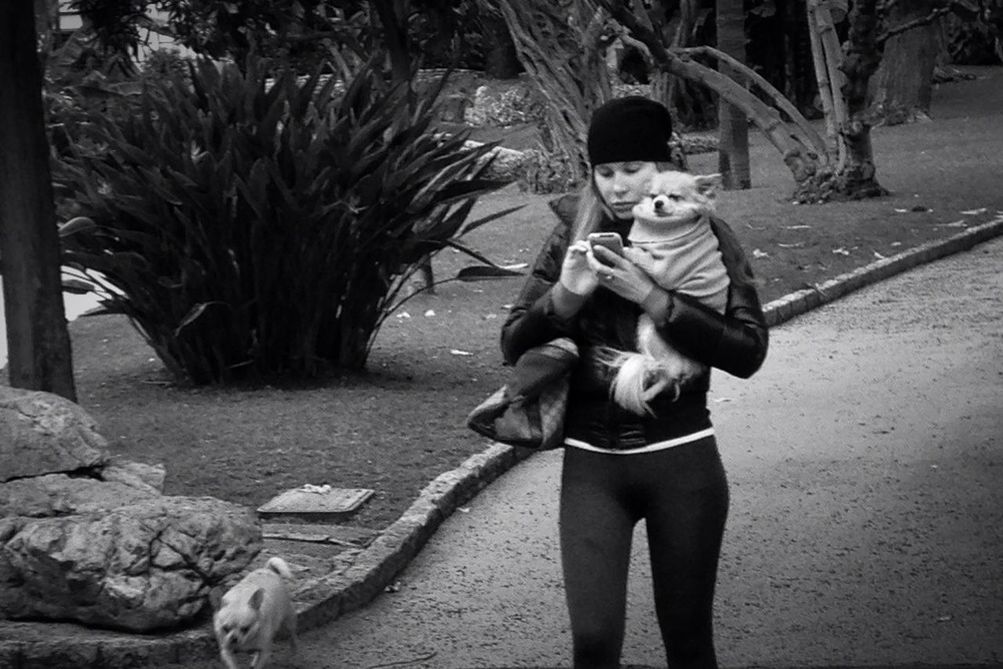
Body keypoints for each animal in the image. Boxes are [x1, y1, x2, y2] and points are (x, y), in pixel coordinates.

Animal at [601, 170, 730, 415]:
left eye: (674, 197)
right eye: (653, 196)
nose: (658, 203)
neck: (663, 228)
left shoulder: (665, 270)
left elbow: (641, 257)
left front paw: (626, 251)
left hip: (650, 327)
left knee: (669, 371)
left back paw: (651, 368)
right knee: (666, 377)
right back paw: (648, 391)